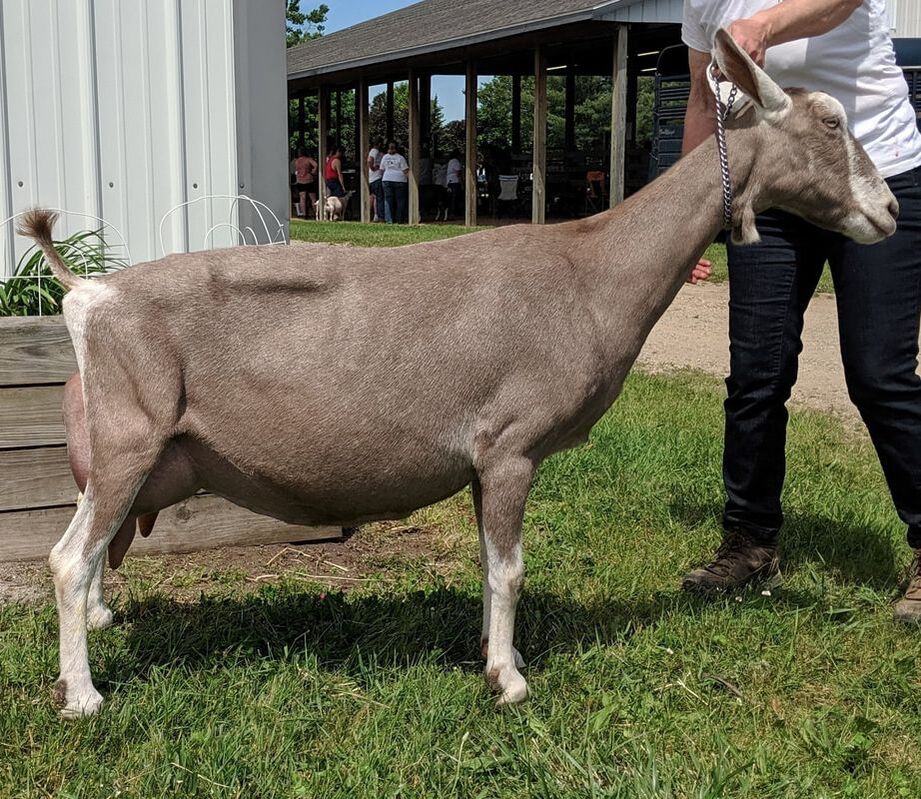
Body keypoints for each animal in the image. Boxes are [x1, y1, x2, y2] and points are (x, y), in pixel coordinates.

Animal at [24, 31, 897, 718]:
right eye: (830, 121)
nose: (888, 212)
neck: (587, 270)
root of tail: (89, 292)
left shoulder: (481, 459)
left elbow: (486, 562)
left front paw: (489, 652)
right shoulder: (510, 445)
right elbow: (509, 567)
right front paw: (508, 680)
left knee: (91, 555)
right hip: (131, 434)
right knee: (68, 560)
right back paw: (84, 696)